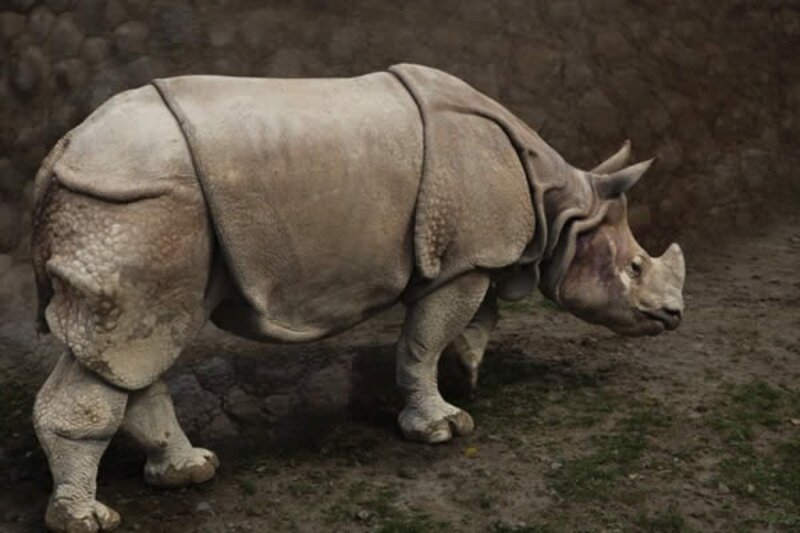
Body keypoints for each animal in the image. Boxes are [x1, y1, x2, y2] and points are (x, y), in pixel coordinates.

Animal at [30, 64, 685, 532]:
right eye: (633, 267)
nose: (674, 315)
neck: (563, 205)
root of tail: (61, 151)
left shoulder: (475, 253)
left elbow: (478, 320)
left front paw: (470, 373)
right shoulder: (463, 261)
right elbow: (424, 341)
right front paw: (445, 427)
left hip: (138, 207)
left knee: (135, 349)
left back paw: (190, 473)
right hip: (138, 203)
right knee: (131, 341)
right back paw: (88, 519)